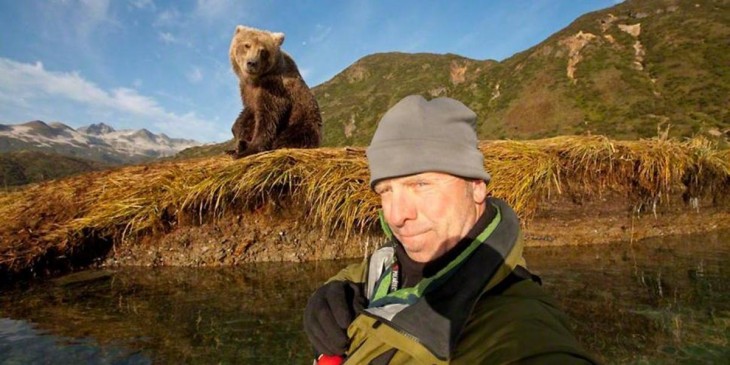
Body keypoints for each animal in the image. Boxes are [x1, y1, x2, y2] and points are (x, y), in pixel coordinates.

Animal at [226, 24, 320, 157]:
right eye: (247, 45)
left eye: (263, 50)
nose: (252, 63)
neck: (255, 80)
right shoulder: (245, 89)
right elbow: (248, 113)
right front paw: (237, 138)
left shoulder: (274, 86)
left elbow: (269, 116)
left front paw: (250, 149)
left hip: (303, 122)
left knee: (292, 136)